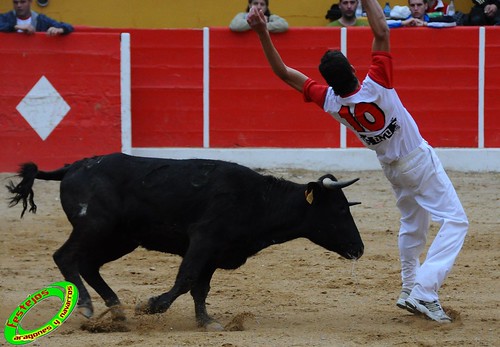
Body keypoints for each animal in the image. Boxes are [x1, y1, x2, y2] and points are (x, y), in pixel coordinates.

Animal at [6, 154, 364, 330]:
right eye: (338, 210)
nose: (359, 249)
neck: (258, 200)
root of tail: (73, 167)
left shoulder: (215, 254)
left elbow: (200, 288)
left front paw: (207, 322)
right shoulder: (203, 241)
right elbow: (186, 279)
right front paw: (150, 306)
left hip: (121, 238)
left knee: (89, 265)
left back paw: (117, 312)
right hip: (95, 226)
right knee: (65, 257)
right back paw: (86, 306)